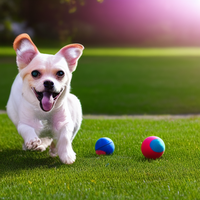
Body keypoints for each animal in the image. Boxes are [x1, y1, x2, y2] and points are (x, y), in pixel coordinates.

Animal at [6, 33, 84, 164]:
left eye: (61, 73)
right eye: (35, 73)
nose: (48, 82)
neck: (45, 112)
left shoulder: (65, 122)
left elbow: (65, 136)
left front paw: (67, 154)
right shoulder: (24, 123)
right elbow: (27, 129)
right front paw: (32, 141)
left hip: (75, 106)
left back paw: (53, 149)